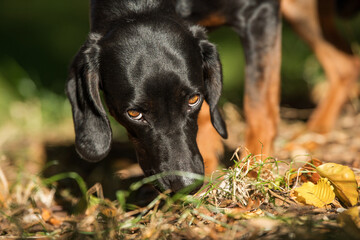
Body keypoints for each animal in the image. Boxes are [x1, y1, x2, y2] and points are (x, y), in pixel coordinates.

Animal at [67, 0, 282, 192]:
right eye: (134, 113)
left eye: (193, 100)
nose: (187, 185)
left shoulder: (259, 12)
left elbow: (258, 107)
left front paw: (253, 172)